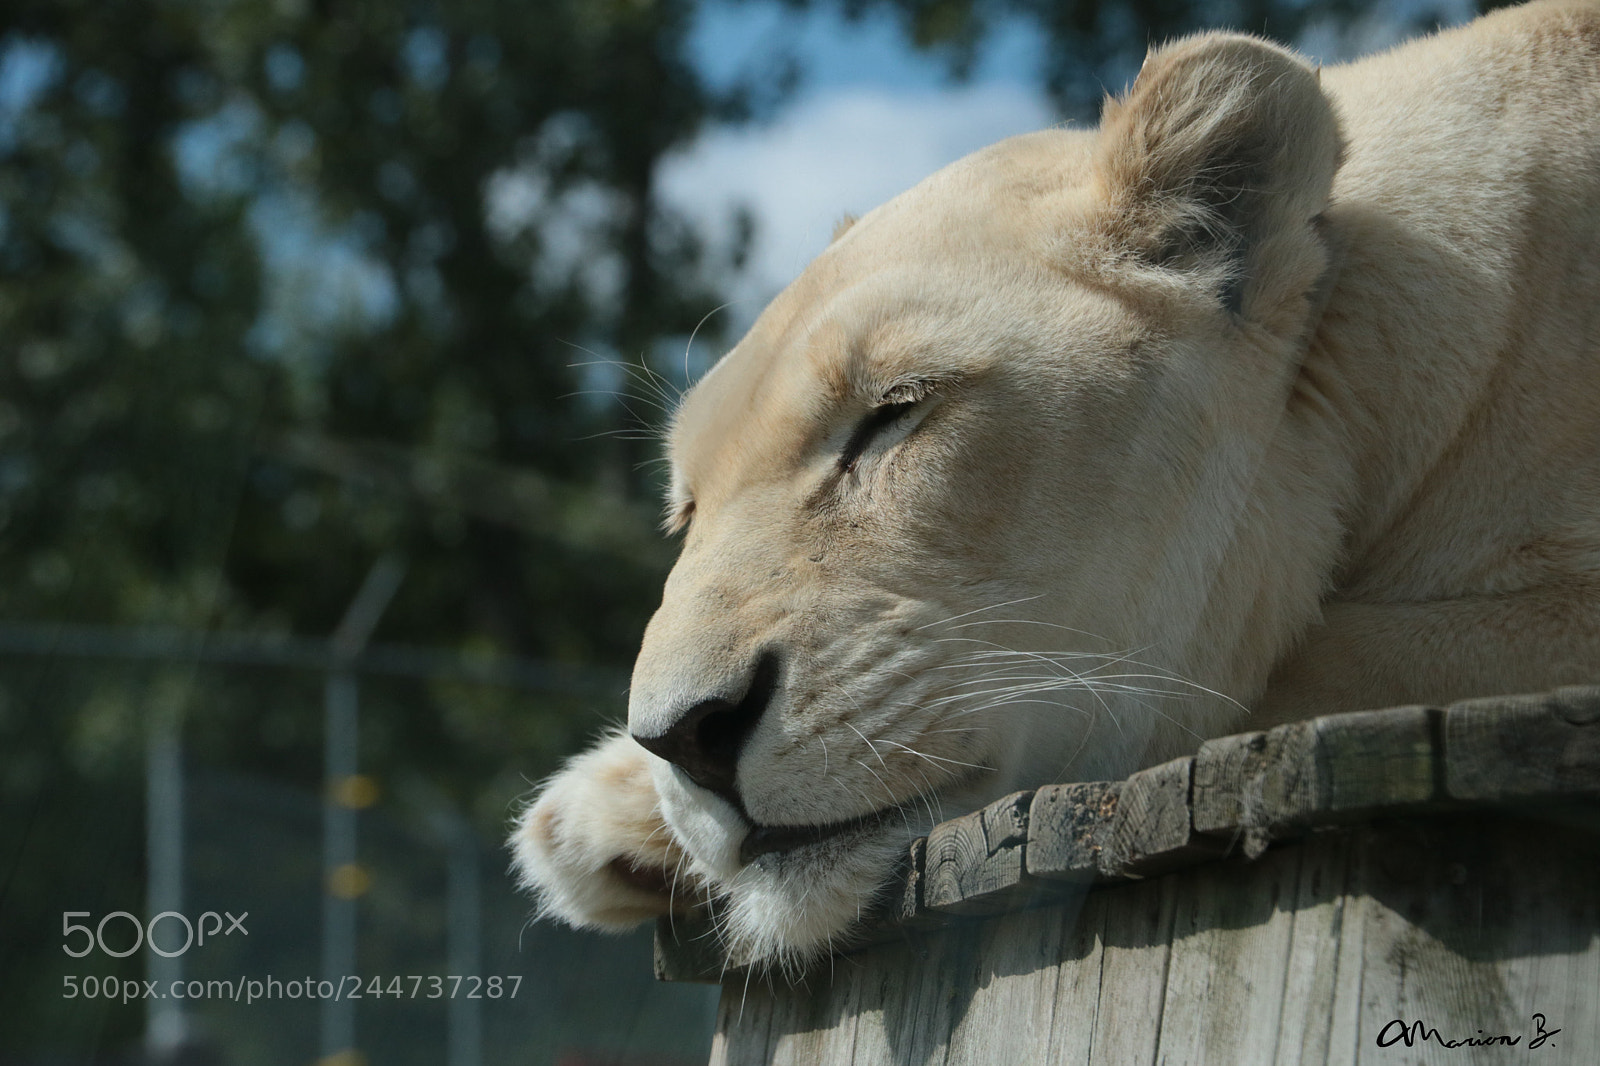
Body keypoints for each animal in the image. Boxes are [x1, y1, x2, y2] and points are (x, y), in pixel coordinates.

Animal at [511, 0, 1600, 968]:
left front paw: (602, 804)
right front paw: (604, 818)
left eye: (893, 412)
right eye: (687, 509)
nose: (686, 739)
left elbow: (1277, 670)